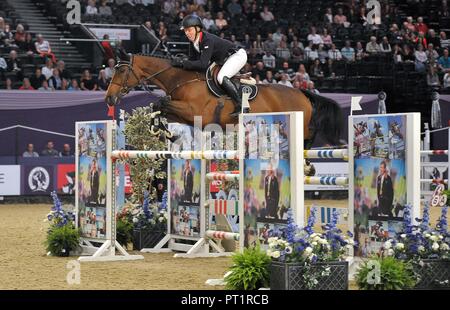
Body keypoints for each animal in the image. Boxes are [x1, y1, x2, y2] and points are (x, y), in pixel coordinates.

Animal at [104, 54, 344, 147]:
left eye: (122, 71)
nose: (109, 98)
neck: (183, 80)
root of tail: (302, 92)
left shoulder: (193, 111)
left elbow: (160, 103)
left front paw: (160, 130)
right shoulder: (184, 115)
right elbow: (159, 106)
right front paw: (162, 130)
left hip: (297, 121)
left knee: (308, 134)